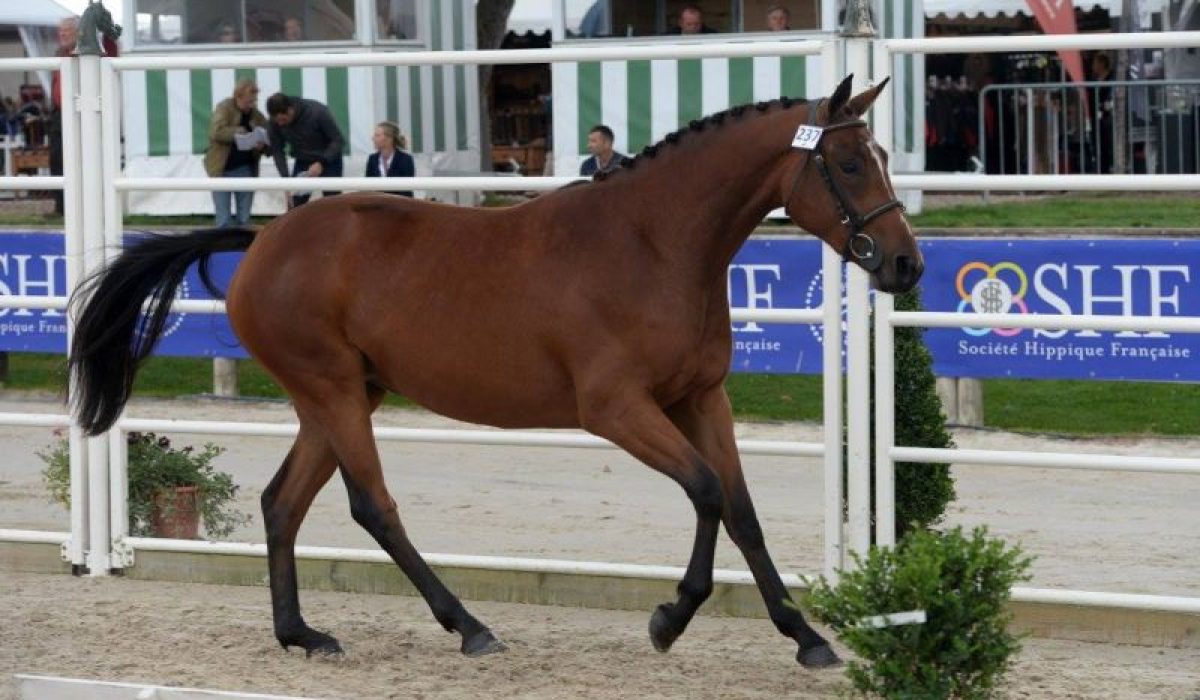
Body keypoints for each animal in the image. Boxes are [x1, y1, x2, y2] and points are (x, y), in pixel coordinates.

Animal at [69, 75, 921, 669]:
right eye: (850, 161)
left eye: (881, 157)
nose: (906, 265)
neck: (654, 243)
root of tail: (264, 240)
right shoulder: (617, 410)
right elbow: (707, 492)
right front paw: (669, 619)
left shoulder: (700, 400)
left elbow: (742, 512)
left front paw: (806, 637)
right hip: (333, 392)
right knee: (373, 507)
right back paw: (469, 628)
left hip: (342, 396)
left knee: (283, 504)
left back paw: (304, 635)